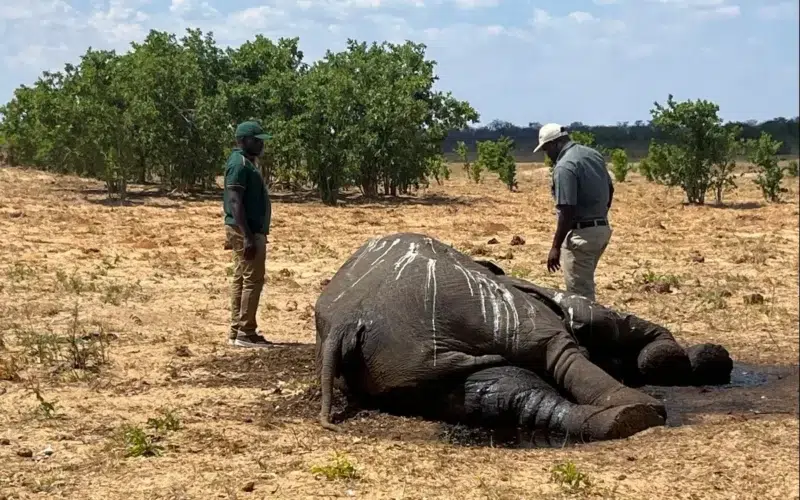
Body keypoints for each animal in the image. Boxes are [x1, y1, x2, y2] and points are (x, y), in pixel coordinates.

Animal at [314, 232, 733, 442]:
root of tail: (348, 321)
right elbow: (612, 324)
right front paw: (691, 360)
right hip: (476, 306)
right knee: (554, 349)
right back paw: (636, 411)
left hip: (404, 366)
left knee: (504, 394)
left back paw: (614, 421)